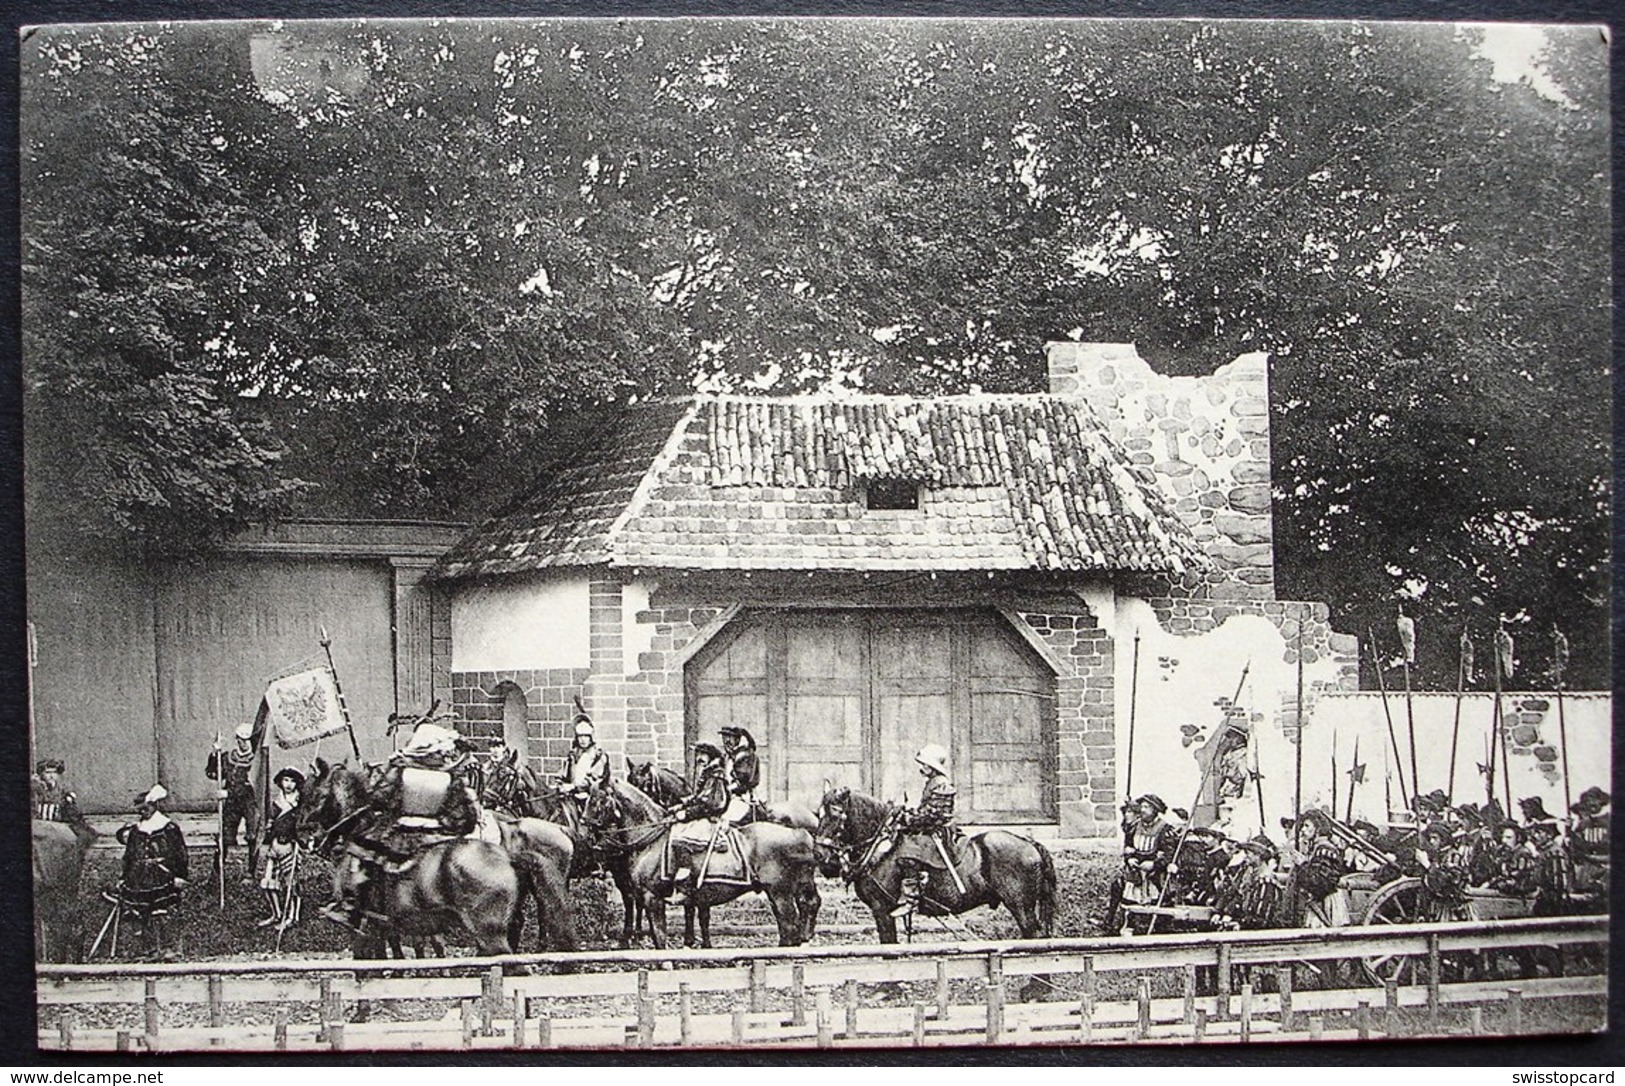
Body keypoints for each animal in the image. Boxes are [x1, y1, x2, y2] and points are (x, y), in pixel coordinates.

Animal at [578, 780, 819, 949]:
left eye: (599, 800)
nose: (585, 830)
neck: (652, 839)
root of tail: (802, 833)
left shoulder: (652, 897)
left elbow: (660, 935)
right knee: (801, 913)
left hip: (780, 892)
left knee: (789, 923)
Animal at [819, 780, 1059, 942]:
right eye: (819, 813)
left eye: (836, 813)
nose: (821, 855)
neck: (882, 849)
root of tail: (1030, 842)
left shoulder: (882, 910)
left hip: (1021, 906)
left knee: (1036, 937)